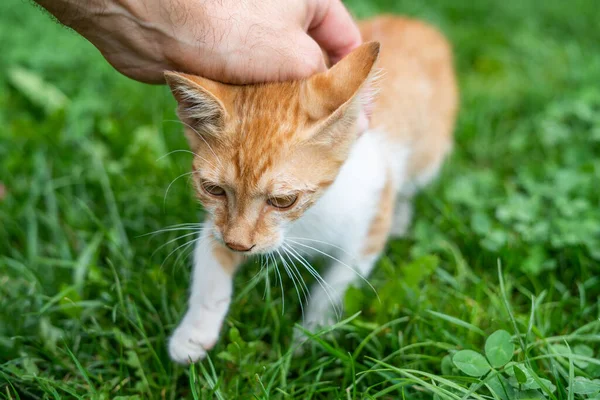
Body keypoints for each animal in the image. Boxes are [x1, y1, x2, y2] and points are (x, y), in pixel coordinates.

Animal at [163, 16, 454, 366]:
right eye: (213, 189)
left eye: (283, 201)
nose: (239, 245)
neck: (303, 222)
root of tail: (414, 22)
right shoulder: (220, 226)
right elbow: (210, 262)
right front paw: (193, 334)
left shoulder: (369, 221)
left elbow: (336, 288)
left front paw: (313, 338)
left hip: (427, 156)